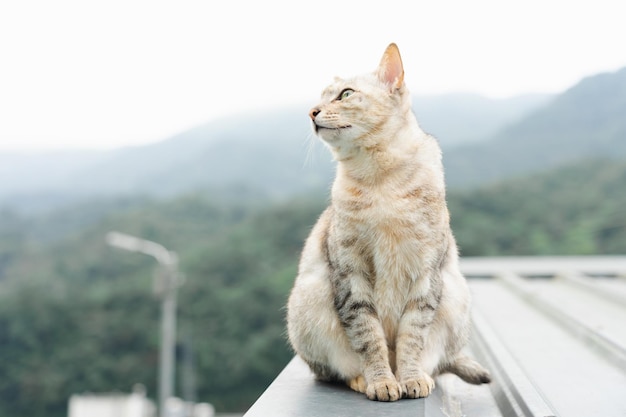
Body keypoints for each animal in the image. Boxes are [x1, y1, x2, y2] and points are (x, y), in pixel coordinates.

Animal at [286, 42, 490, 400]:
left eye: (345, 94)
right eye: (320, 97)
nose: (311, 111)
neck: (380, 180)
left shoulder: (425, 274)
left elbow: (411, 338)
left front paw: (410, 378)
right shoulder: (350, 272)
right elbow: (369, 337)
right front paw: (381, 380)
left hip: (455, 297)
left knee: (436, 361)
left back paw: (423, 374)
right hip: (309, 303)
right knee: (332, 372)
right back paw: (361, 379)